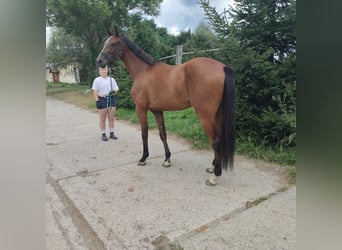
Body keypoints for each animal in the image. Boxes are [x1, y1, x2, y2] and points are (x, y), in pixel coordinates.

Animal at [96, 28, 235, 186]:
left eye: (113, 43)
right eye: (105, 42)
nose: (99, 61)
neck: (143, 71)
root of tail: (223, 68)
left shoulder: (141, 109)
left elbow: (144, 133)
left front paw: (143, 158)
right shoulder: (157, 111)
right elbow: (163, 134)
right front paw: (167, 159)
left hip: (205, 116)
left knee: (215, 141)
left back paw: (214, 176)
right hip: (217, 115)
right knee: (219, 140)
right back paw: (213, 167)